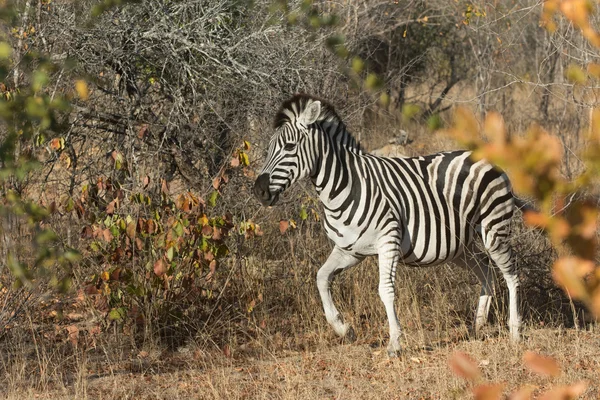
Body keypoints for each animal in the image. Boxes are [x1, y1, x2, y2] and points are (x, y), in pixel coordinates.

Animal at [253, 94, 520, 356]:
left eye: (289, 147)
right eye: (269, 148)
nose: (259, 190)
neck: (346, 186)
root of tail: (487, 156)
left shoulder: (388, 241)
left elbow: (385, 290)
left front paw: (394, 343)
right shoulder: (350, 250)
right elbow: (321, 277)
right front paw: (343, 328)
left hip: (494, 229)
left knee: (511, 274)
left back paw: (515, 331)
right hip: (459, 245)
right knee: (486, 269)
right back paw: (478, 324)